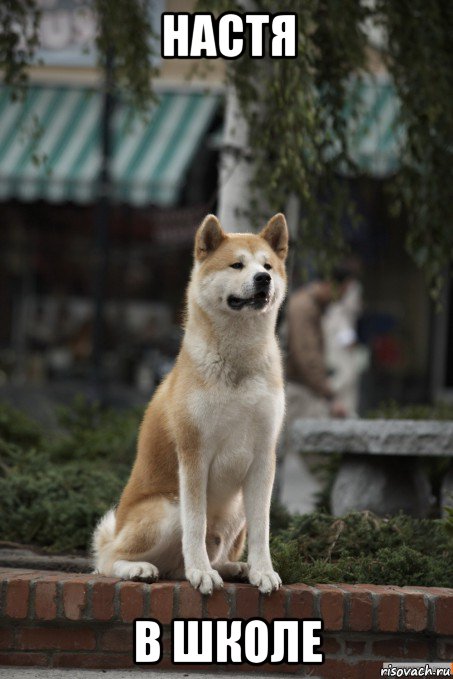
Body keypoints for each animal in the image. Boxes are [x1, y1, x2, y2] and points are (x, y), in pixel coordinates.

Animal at [93, 212, 288, 596]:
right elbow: (195, 526)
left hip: (236, 509)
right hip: (167, 508)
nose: (263, 279)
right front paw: (201, 573)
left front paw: (263, 571)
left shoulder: (263, 457)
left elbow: (263, 530)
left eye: (268, 266)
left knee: (203, 558)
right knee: (108, 560)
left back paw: (235, 568)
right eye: (237, 264)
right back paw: (142, 568)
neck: (237, 364)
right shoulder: (194, 454)